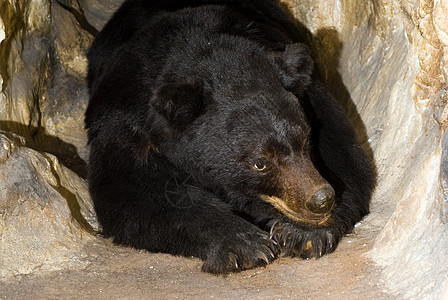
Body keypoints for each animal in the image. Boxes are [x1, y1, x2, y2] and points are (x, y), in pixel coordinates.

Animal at [84, 0, 374, 274]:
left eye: (304, 140)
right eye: (260, 162)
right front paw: (245, 244)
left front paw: (304, 233)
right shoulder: (126, 123)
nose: (321, 200)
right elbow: (133, 191)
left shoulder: (314, 100)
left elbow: (346, 159)